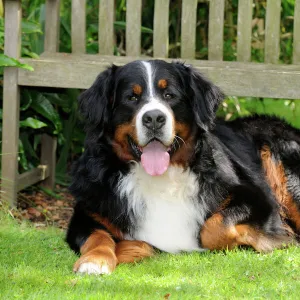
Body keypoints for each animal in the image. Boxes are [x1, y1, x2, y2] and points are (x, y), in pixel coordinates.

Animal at [67, 59, 300, 276]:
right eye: (131, 98)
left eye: (169, 95)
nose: (154, 118)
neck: (161, 179)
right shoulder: (88, 209)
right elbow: (97, 236)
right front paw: (96, 260)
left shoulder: (257, 198)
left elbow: (213, 227)